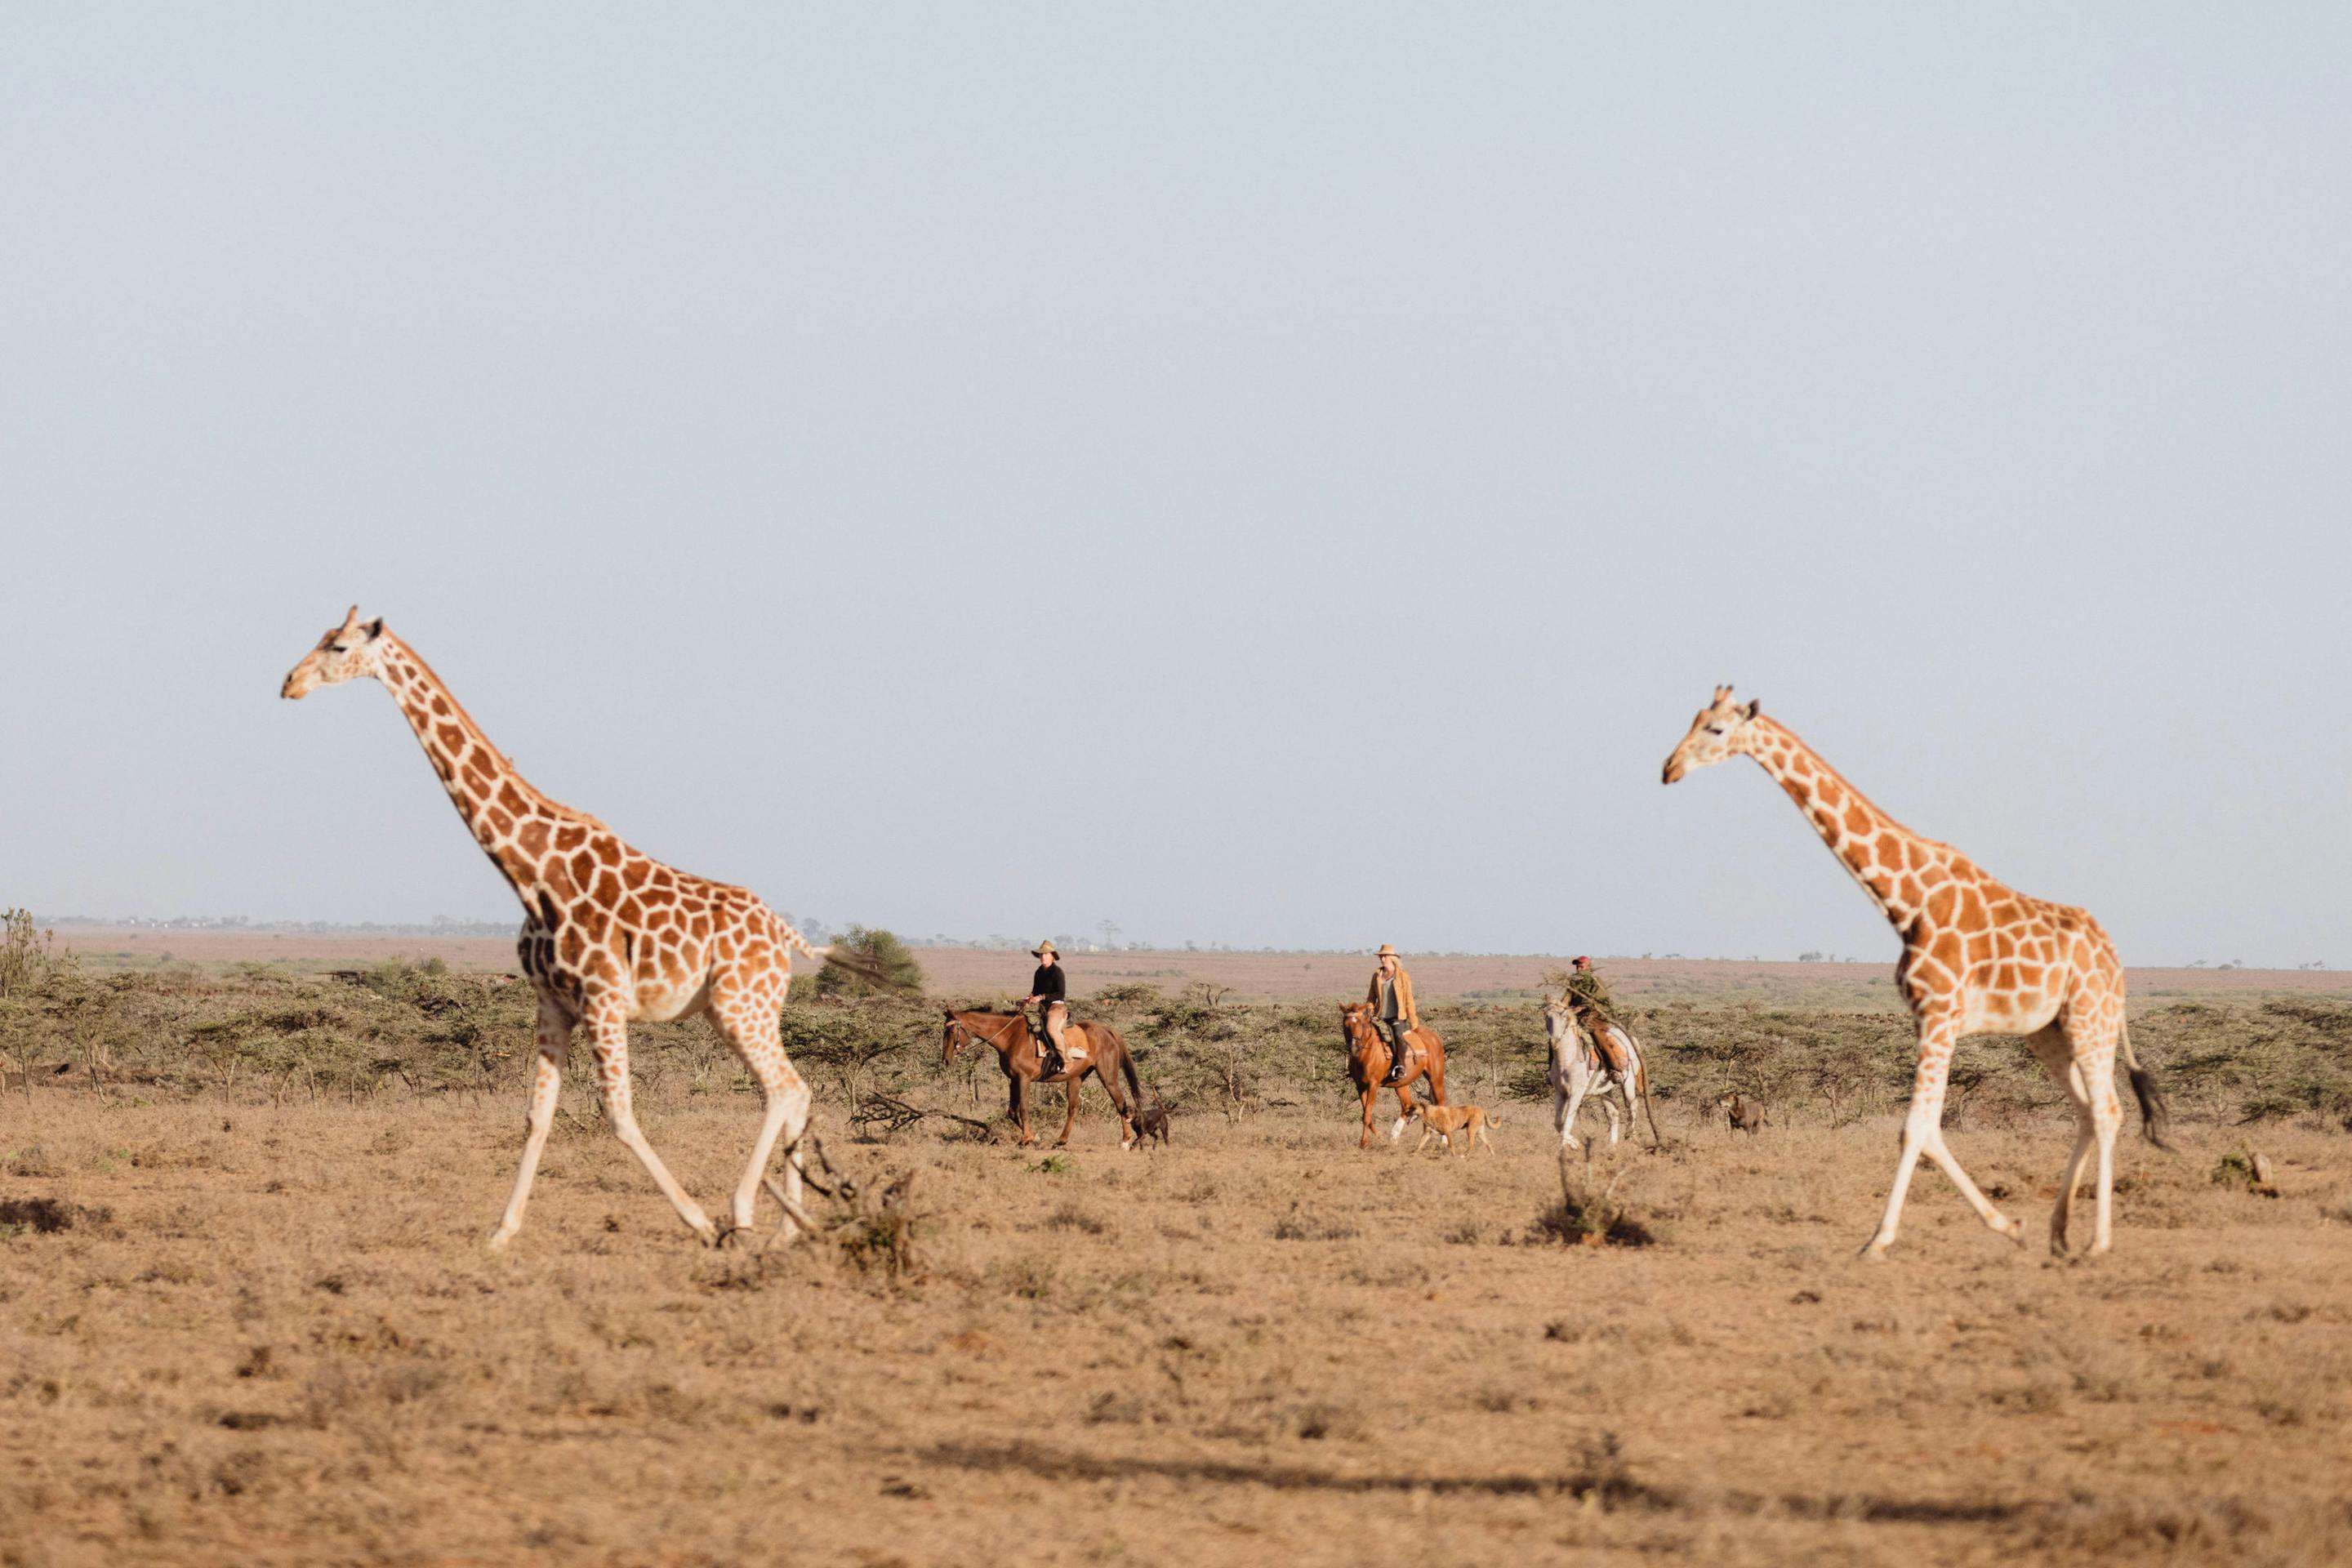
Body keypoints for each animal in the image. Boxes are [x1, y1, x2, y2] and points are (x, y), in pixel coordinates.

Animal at [283, 607, 828, 1251]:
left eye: (338, 648)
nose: (289, 683)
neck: (533, 870)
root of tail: (785, 936)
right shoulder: (552, 1000)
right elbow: (537, 1115)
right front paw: (501, 1232)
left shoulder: (603, 998)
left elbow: (619, 1115)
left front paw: (698, 1221)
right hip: (739, 1009)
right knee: (794, 1089)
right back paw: (788, 1228)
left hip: (741, 1003)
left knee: (785, 1089)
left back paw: (744, 1214)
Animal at [1661, 686, 2169, 1259]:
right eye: (1694, 719)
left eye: (1717, 730)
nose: (1669, 768)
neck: (1907, 901)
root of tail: (2114, 958)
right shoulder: (1929, 1019)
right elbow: (1928, 1129)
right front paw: (2008, 1224)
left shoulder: (1939, 1014)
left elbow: (1915, 1129)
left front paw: (1877, 1241)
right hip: (2048, 1031)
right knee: (2085, 1110)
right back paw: (2058, 1232)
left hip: (2090, 1017)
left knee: (2107, 1111)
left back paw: (2097, 1242)